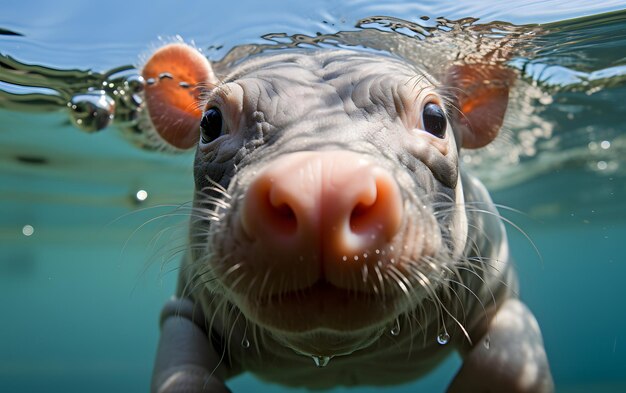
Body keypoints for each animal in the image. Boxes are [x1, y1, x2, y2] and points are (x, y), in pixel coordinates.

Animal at [141, 41, 552, 390]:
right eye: (210, 122)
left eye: (435, 118)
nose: (320, 188)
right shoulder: (188, 306)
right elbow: (182, 375)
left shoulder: (497, 291)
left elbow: (504, 366)